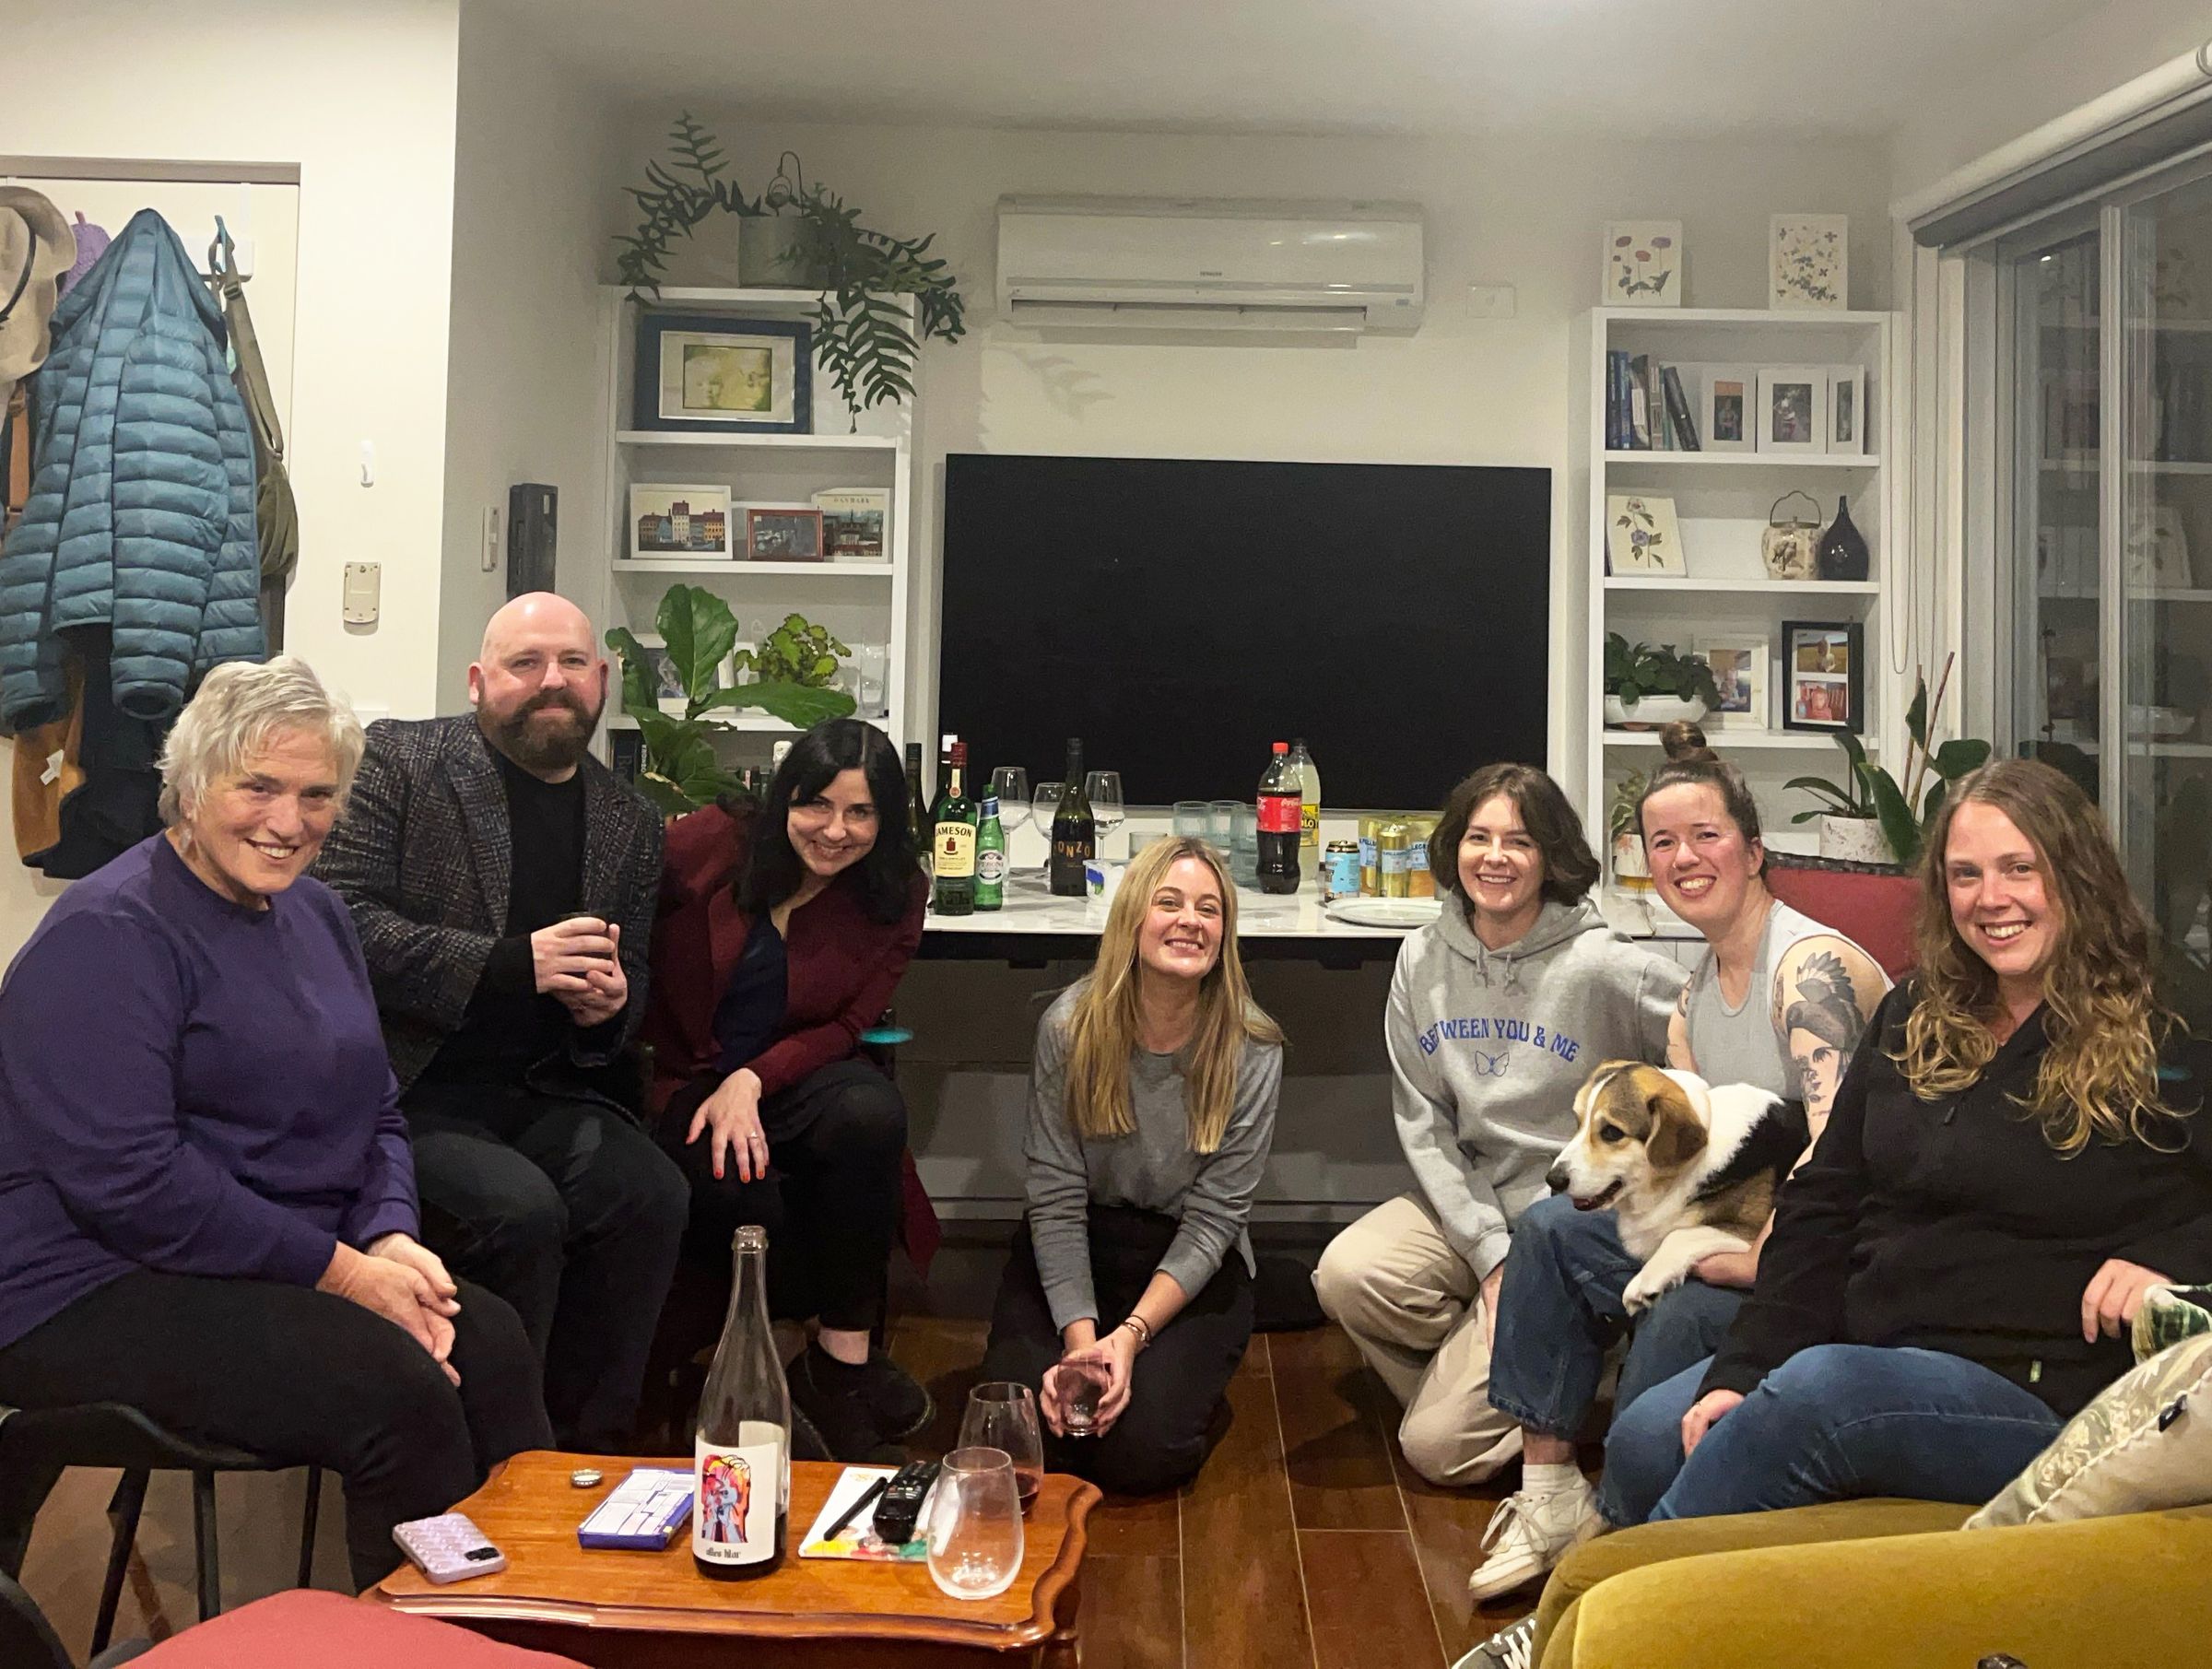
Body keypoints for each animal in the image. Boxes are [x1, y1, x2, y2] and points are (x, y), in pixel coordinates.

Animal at [1548, 1065, 1805, 1309]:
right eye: (1578, 1122)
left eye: (1612, 1132)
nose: (1553, 1180)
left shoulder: (1752, 1232)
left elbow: (1679, 1235)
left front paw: (1644, 1283)